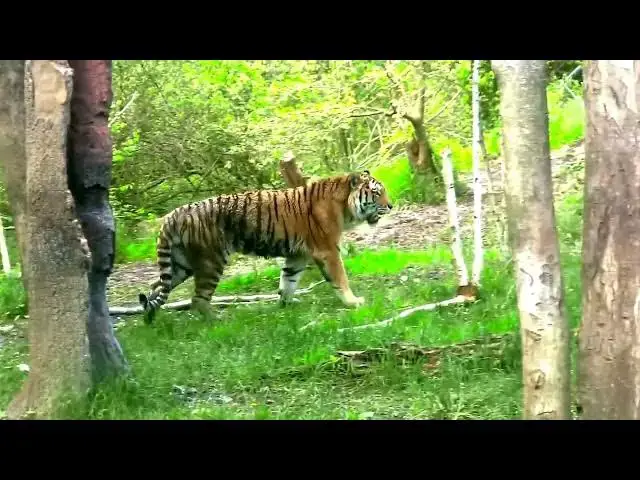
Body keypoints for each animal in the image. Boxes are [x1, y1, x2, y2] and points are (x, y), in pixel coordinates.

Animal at [138, 169, 393, 324]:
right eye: (377, 192)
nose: (391, 205)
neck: (345, 207)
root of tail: (173, 215)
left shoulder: (298, 255)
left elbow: (288, 281)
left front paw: (286, 305)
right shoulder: (327, 250)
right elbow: (340, 278)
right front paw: (353, 302)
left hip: (181, 265)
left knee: (155, 287)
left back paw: (150, 319)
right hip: (211, 261)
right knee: (197, 299)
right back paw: (218, 320)